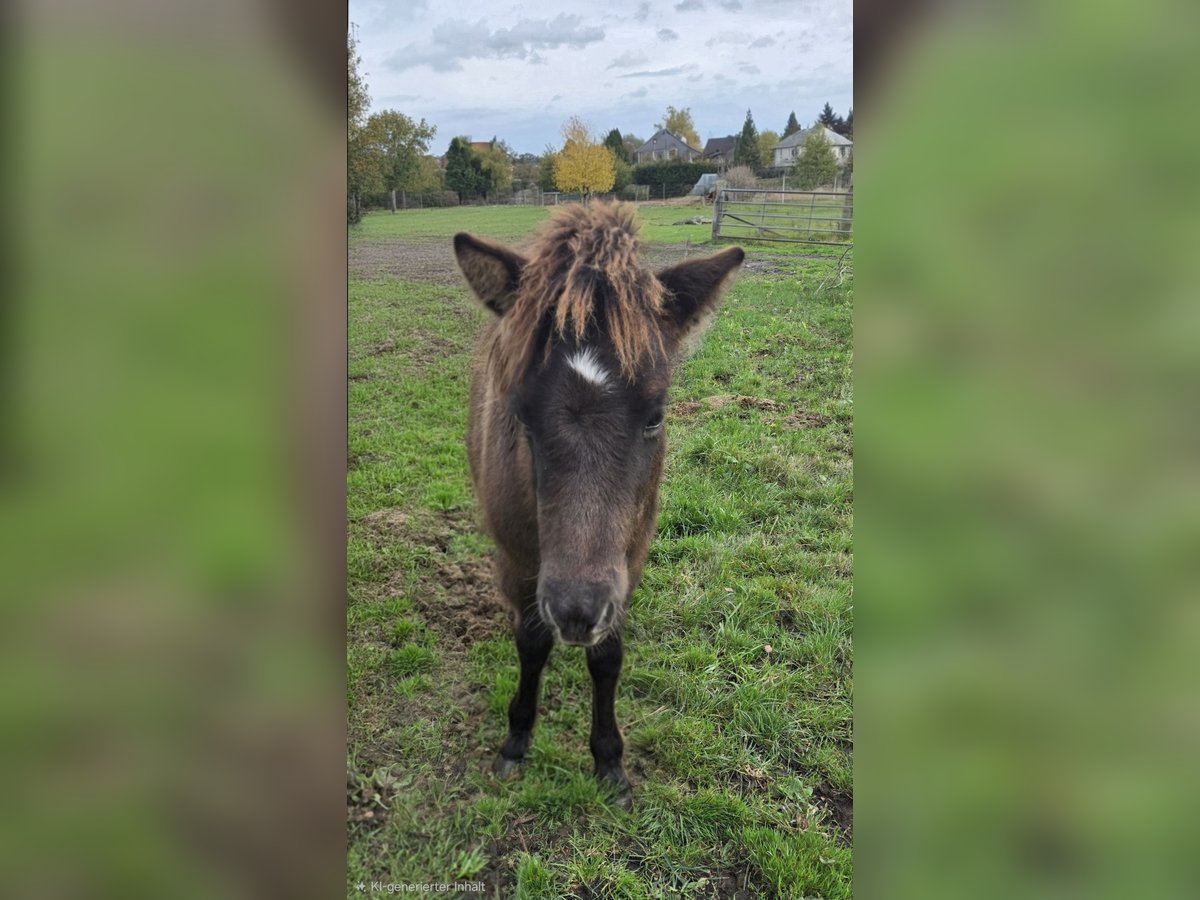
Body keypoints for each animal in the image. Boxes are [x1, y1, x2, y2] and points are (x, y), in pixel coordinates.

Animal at [453, 203, 743, 806]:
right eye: (520, 414)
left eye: (655, 415)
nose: (576, 610)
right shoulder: (521, 562)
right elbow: (531, 643)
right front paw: (516, 740)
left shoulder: (625, 563)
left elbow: (607, 656)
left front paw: (609, 761)